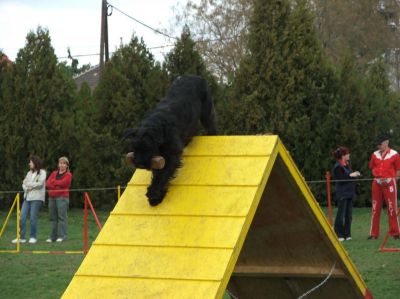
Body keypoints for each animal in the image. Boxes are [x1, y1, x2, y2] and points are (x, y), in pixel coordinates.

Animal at [122, 75, 216, 206]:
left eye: (148, 147)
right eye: (134, 147)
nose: (139, 163)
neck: (160, 125)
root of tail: (195, 76)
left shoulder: (171, 155)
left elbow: (163, 174)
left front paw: (154, 195)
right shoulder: (159, 158)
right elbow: (158, 173)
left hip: (206, 111)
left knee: (211, 123)